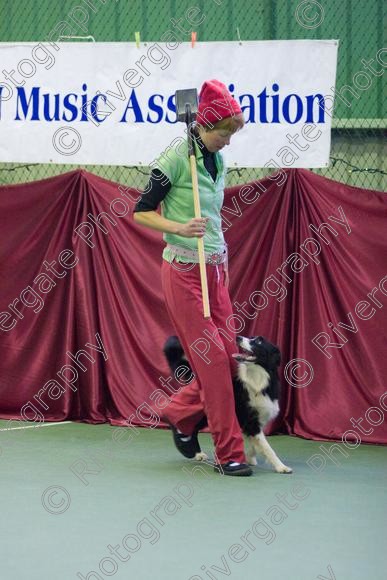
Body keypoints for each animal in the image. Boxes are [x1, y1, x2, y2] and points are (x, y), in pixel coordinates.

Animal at [162, 336, 292, 472]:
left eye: (258, 341)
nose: (238, 337)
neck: (258, 380)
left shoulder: (260, 418)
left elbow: (257, 443)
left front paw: (249, 458)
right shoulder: (250, 420)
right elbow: (267, 447)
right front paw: (282, 467)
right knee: (190, 425)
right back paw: (193, 450)